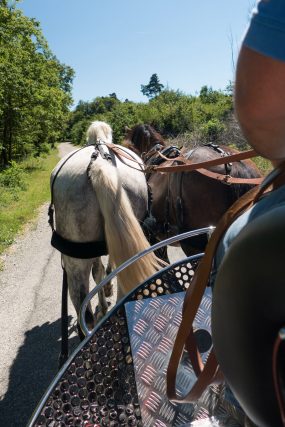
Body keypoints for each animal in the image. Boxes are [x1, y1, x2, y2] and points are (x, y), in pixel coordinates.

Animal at [50, 122, 158, 332]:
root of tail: (98, 162)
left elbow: (98, 271)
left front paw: (104, 299)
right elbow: (102, 270)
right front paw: (106, 293)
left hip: (74, 258)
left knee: (82, 302)